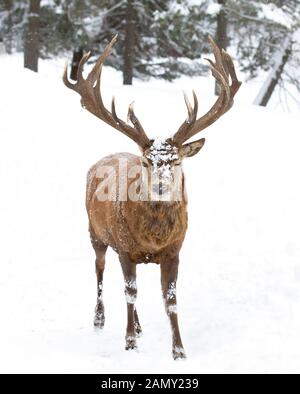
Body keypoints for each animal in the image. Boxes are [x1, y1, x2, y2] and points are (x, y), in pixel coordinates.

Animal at [62, 35, 241, 358]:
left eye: (177, 160)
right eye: (147, 161)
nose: (161, 186)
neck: (152, 240)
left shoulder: (174, 251)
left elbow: (170, 299)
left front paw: (179, 350)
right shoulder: (124, 248)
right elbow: (130, 293)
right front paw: (130, 343)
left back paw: (140, 326)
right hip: (95, 232)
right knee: (100, 270)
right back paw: (100, 319)